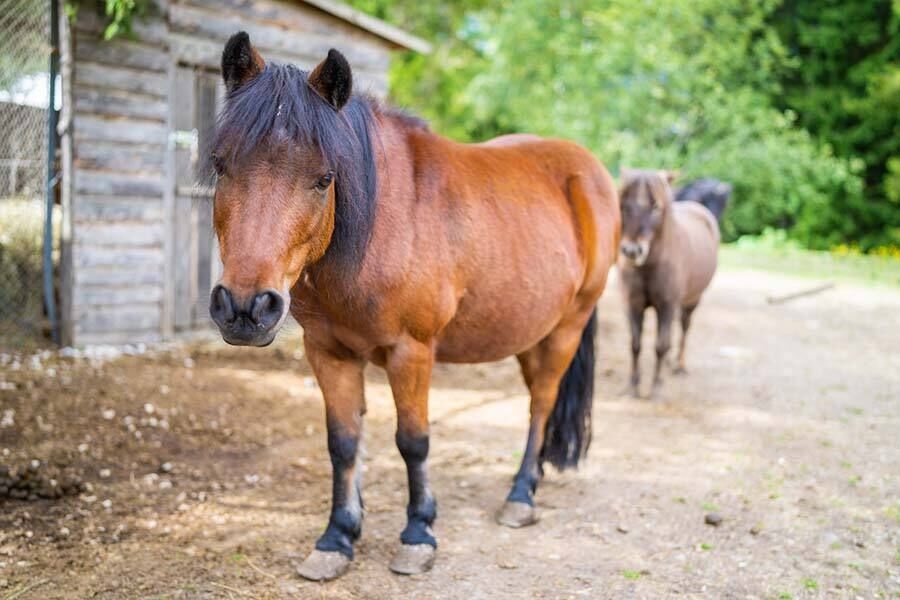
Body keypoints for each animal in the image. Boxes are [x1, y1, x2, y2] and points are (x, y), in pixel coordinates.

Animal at [208, 34, 624, 580]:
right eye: (220, 165)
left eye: (324, 178)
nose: (244, 308)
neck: (379, 226)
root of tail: (588, 170)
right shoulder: (328, 352)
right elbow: (343, 442)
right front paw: (337, 537)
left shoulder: (413, 352)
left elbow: (413, 441)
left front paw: (418, 532)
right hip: (530, 331)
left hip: (567, 328)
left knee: (542, 403)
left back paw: (520, 496)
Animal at [620, 168, 716, 398]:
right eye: (624, 203)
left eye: (656, 207)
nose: (632, 251)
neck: (649, 267)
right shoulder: (633, 304)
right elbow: (635, 344)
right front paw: (633, 385)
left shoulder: (666, 305)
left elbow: (660, 346)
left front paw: (656, 386)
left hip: (691, 301)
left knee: (684, 327)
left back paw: (679, 365)